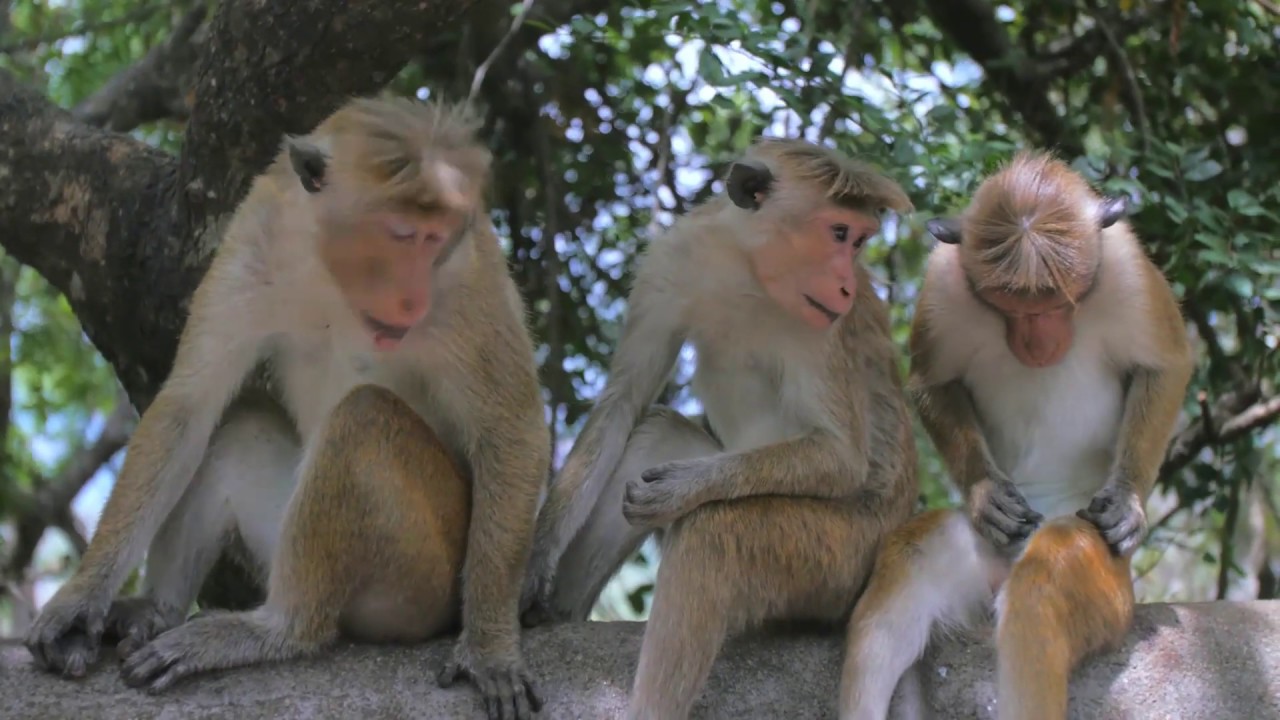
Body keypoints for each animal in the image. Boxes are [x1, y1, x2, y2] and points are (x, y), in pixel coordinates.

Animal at [24, 97, 549, 720]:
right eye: (402, 235)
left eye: (437, 240)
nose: (414, 296)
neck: (334, 273)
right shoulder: (258, 227)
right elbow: (189, 404)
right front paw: (81, 599)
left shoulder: (468, 277)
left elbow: (511, 428)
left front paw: (490, 650)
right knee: (240, 423)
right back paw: (159, 609)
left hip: (427, 574)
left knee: (362, 419)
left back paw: (277, 630)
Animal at [519, 137, 920, 719]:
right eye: (840, 233)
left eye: (861, 239)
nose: (847, 286)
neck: (748, 270)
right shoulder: (673, 260)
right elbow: (625, 402)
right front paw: (533, 563)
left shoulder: (823, 327)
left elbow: (841, 455)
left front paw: (686, 488)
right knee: (653, 436)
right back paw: (555, 614)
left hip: (842, 560)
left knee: (716, 533)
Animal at [838, 150, 1194, 720]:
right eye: (1010, 308)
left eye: (1055, 306)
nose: (1037, 343)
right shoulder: (944, 282)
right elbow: (933, 383)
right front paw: (987, 494)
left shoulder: (1127, 272)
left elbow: (1165, 366)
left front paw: (1126, 502)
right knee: (911, 568)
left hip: (1109, 587)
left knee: (1044, 582)